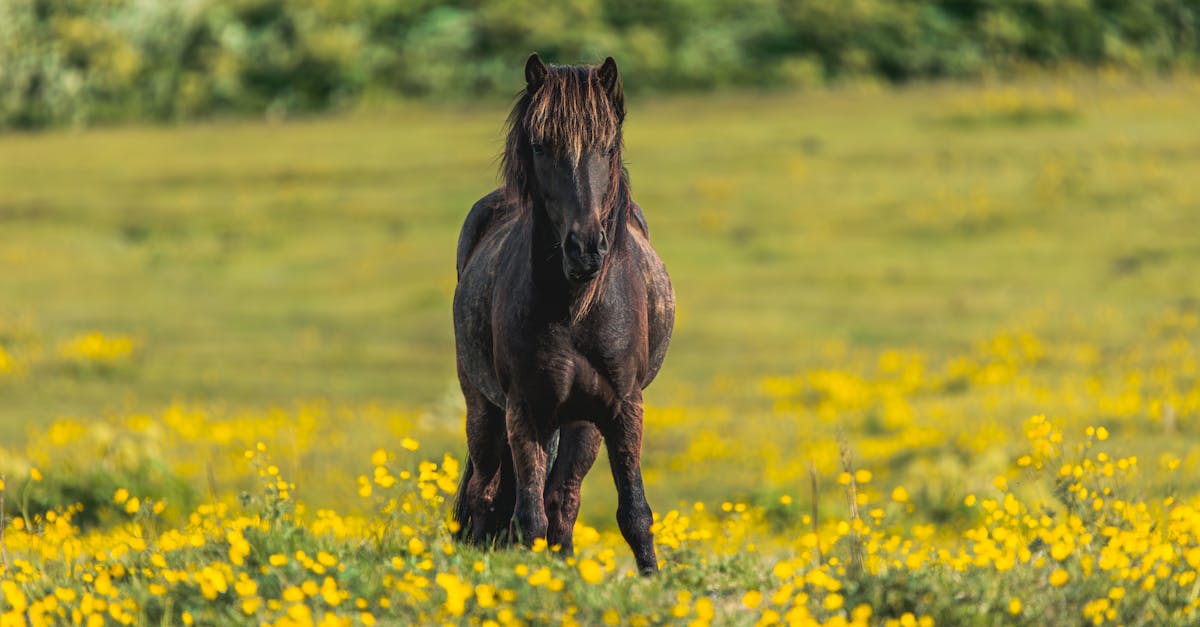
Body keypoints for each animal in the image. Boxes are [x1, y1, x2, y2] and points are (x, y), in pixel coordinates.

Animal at [451, 53, 676, 571]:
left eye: (608, 147)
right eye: (539, 146)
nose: (585, 248)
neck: (576, 312)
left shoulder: (622, 407)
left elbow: (634, 513)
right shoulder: (524, 412)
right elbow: (527, 518)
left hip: (580, 423)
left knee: (562, 500)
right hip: (483, 408)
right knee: (484, 494)